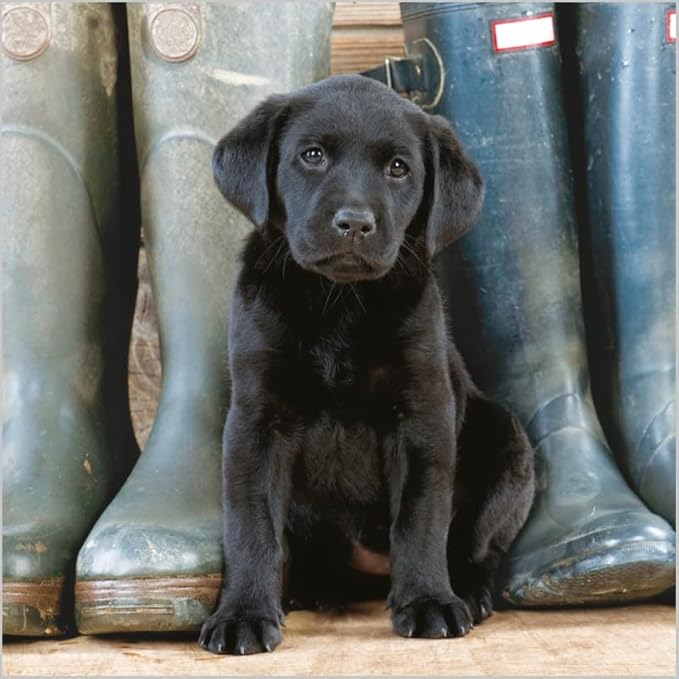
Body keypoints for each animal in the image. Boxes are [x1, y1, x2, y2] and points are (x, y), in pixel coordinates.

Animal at [198, 73, 536, 652]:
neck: (339, 303)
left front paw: (427, 602)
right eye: (311, 156)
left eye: (398, 168)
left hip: (507, 442)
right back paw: (304, 588)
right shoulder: (256, 421)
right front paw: (242, 614)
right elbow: (250, 524)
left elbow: (422, 519)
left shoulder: (423, 414)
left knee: (477, 545)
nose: (354, 223)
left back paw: (465, 592)